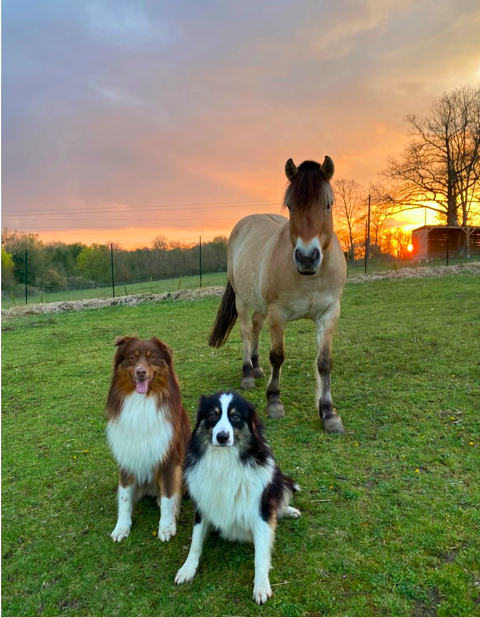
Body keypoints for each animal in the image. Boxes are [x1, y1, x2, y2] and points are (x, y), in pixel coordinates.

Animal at [106, 334, 190, 540]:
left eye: (152, 357)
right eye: (132, 358)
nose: (141, 372)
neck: (141, 401)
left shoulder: (169, 458)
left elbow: (169, 496)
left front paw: (166, 526)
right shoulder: (127, 457)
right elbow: (124, 497)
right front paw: (122, 527)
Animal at [172, 392, 300, 604]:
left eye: (235, 416)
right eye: (213, 415)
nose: (222, 437)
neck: (224, 459)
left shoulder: (260, 510)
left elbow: (260, 555)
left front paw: (261, 585)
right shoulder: (203, 504)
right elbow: (195, 542)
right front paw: (187, 569)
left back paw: (289, 511)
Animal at [208, 155, 346, 434]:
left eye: (327, 205)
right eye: (291, 206)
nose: (307, 257)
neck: (310, 277)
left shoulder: (329, 314)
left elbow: (324, 362)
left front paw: (329, 413)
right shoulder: (278, 313)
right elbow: (278, 355)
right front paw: (274, 402)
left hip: (260, 306)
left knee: (256, 327)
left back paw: (257, 367)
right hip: (242, 300)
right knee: (246, 332)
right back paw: (248, 373)